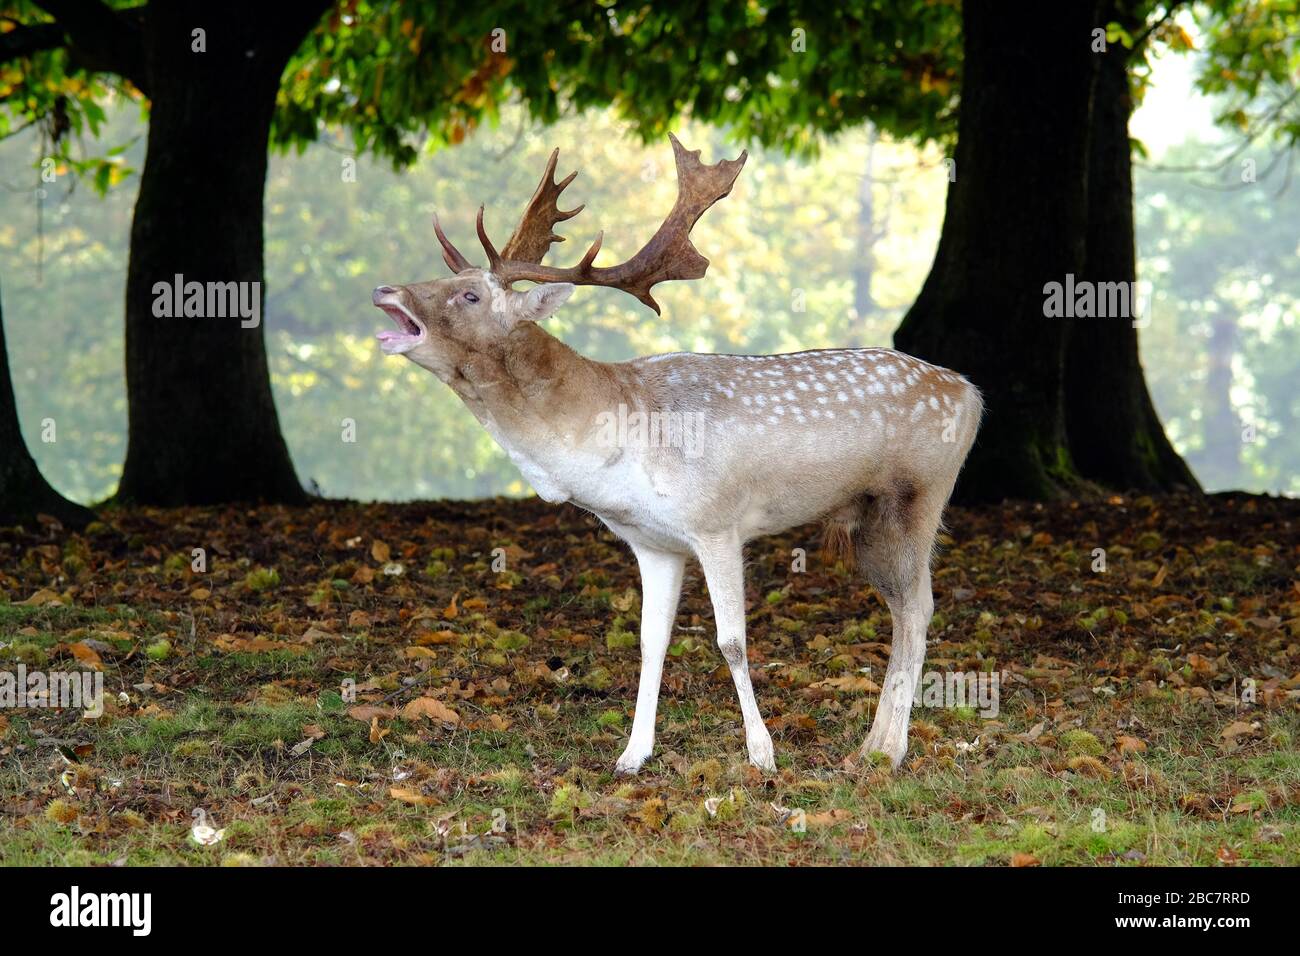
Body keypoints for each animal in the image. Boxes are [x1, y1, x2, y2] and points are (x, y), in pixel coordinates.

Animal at [373, 135, 982, 774]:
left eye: (469, 294)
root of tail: (972, 392)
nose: (385, 291)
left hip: (921, 496)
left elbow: (731, 640)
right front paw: (632, 755)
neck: (616, 448)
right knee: (902, 607)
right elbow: (650, 641)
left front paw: (762, 755)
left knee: (919, 608)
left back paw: (889, 749)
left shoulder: (717, 522)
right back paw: (871, 745)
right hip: (866, 519)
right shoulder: (653, 543)